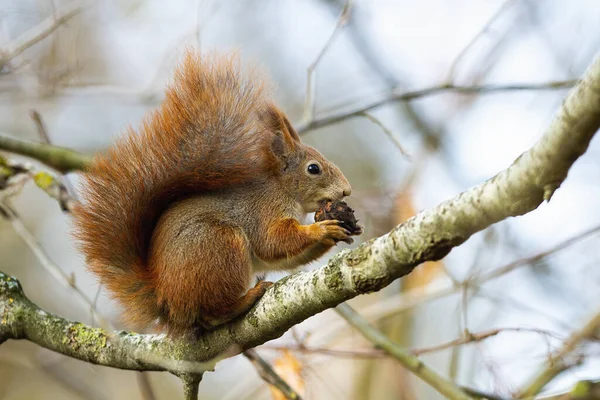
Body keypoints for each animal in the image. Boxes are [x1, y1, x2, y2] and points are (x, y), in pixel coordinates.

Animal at [72, 51, 358, 336]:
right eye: (313, 168)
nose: (347, 189)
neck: (283, 189)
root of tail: (167, 303)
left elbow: (281, 258)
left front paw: (337, 232)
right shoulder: (263, 210)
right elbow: (272, 241)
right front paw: (321, 229)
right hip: (219, 245)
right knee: (212, 313)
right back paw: (246, 299)